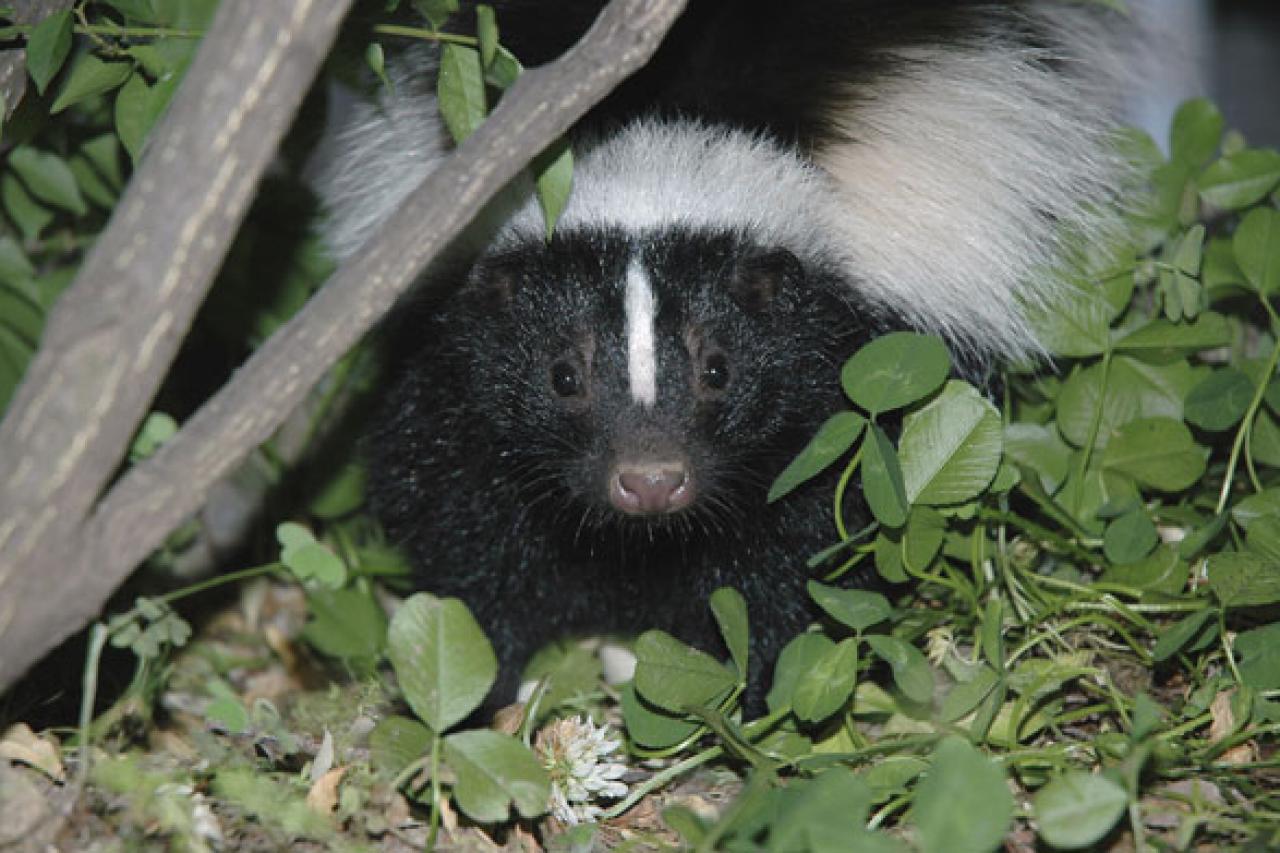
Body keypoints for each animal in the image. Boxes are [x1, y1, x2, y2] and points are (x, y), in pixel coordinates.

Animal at [314, 3, 1146, 696]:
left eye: (719, 369)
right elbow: (470, 530)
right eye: (562, 374)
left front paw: (752, 684)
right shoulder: (452, 380)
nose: (650, 480)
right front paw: (487, 680)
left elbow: (802, 549)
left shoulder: (838, 392)